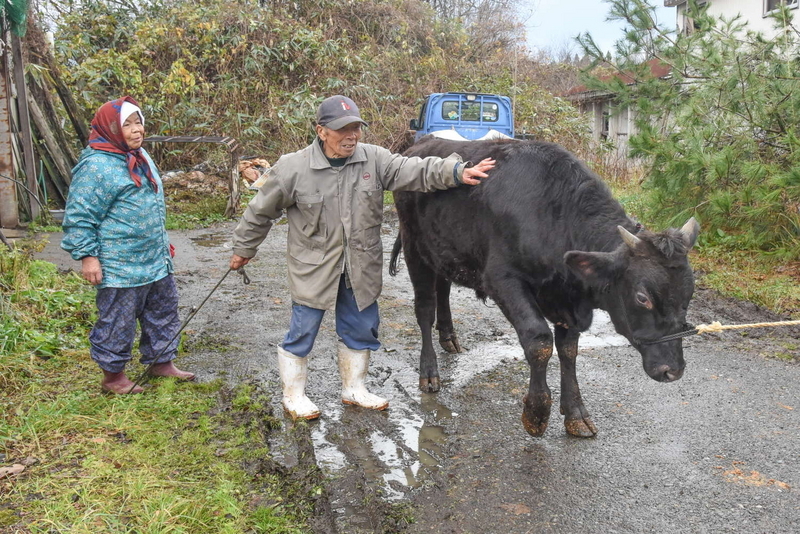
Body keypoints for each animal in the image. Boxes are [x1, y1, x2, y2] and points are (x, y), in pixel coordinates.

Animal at [390, 138, 700, 440]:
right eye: (642, 297)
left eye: (689, 294)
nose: (673, 370)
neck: (554, 215)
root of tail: (419, 144)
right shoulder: (502, 279)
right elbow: (539, 341)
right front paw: (536, 414)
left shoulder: (569, 302)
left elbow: (569, 350)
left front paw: (576, 413)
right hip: (414, 249)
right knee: (425, 309)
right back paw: (429, 372)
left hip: (443, 251)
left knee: (443, 289)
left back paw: (449, 337)